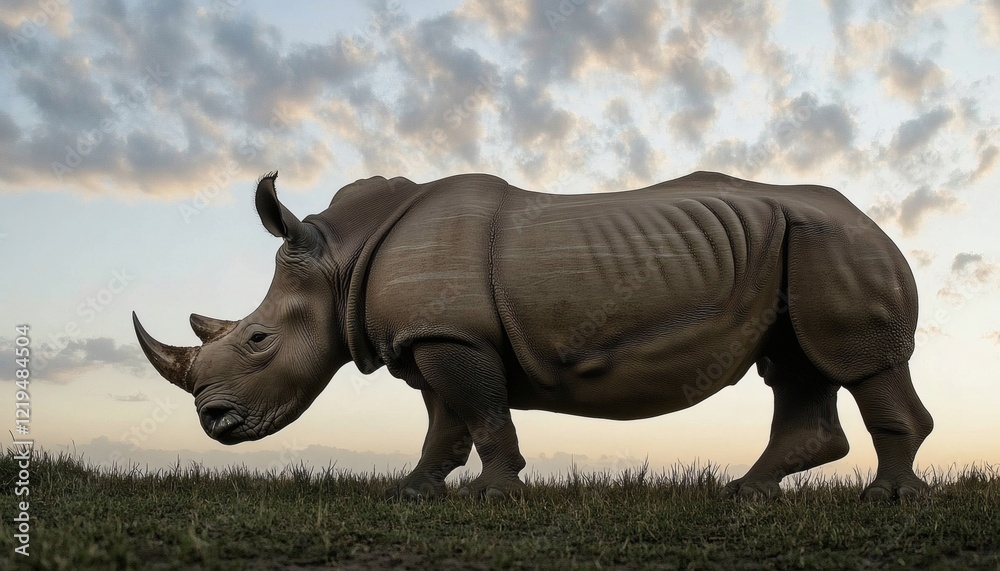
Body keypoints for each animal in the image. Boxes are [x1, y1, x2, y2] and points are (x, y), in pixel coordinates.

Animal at [133, 171, 933, 501]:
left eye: (257, 341)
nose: (214, 421)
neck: (340, 261)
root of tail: (869, 215)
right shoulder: (435, 336)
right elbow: (445, 422)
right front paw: (413, 491)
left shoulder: (452, 336)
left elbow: (481, 413)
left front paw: (492, 493)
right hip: (797, 244)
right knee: (796, 366)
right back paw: (748, 494)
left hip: (837, 243)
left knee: (853, 363)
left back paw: (886, 499)